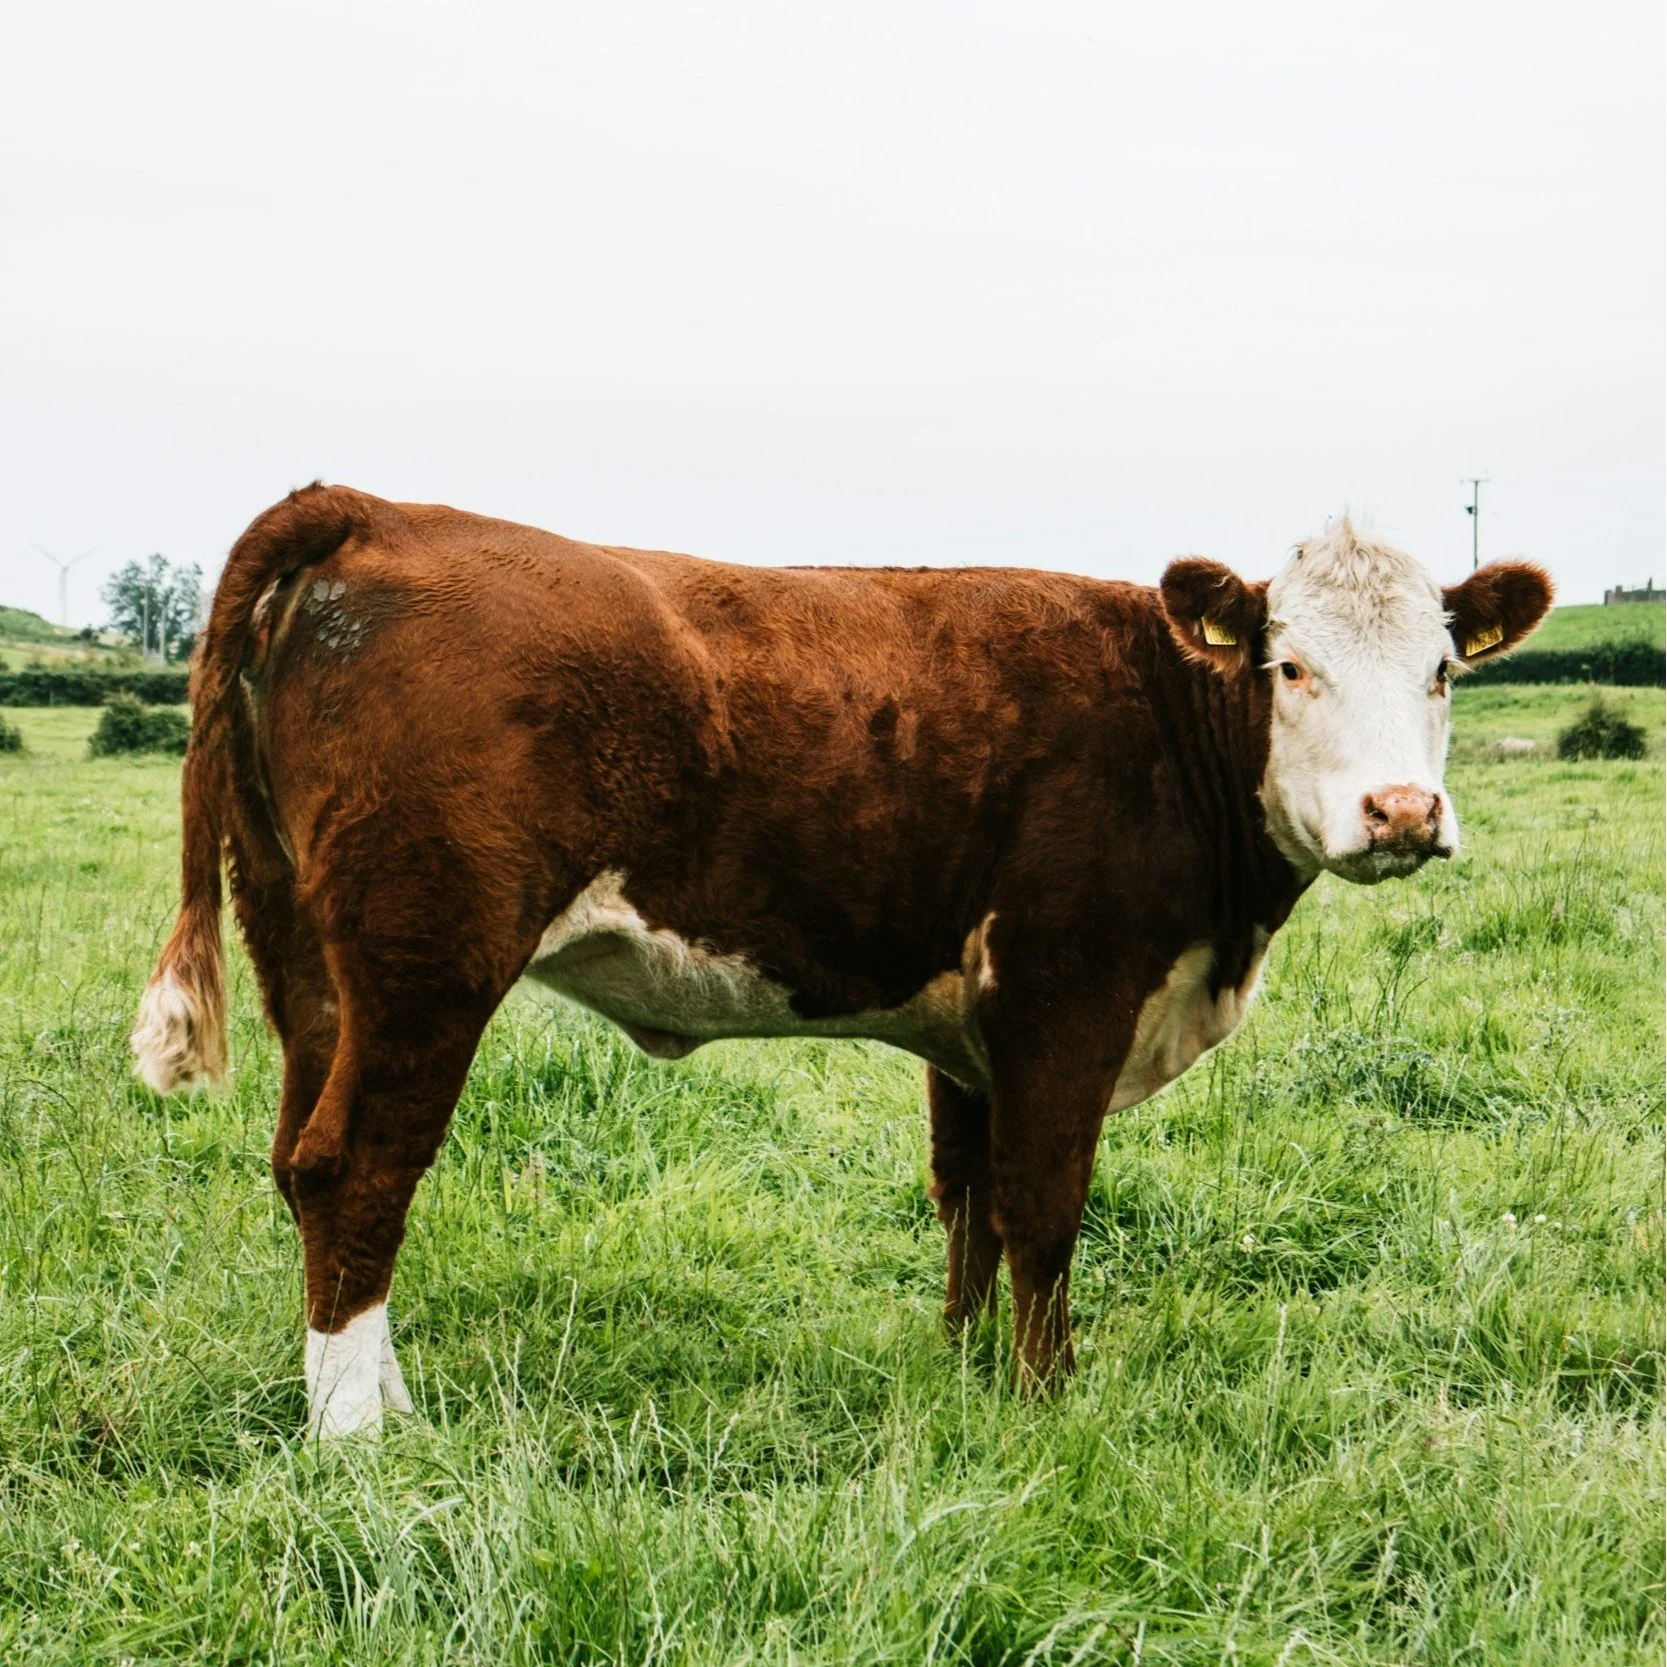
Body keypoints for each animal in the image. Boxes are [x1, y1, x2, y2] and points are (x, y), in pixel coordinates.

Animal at [130, 486, 1552, 1436]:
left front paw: (967, 1369)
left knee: (298, 1158)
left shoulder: (972, 1029)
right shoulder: (1065, 989)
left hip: (308, 950)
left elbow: (968, 1198)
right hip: (426, 954)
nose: (1401, 813)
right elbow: (1045, 1204)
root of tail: (372, 511)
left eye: (1441, 670)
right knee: (357, 1166)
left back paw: (379, 1395)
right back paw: (359, 1435)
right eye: (1288, 665)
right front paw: (1047, 1398)